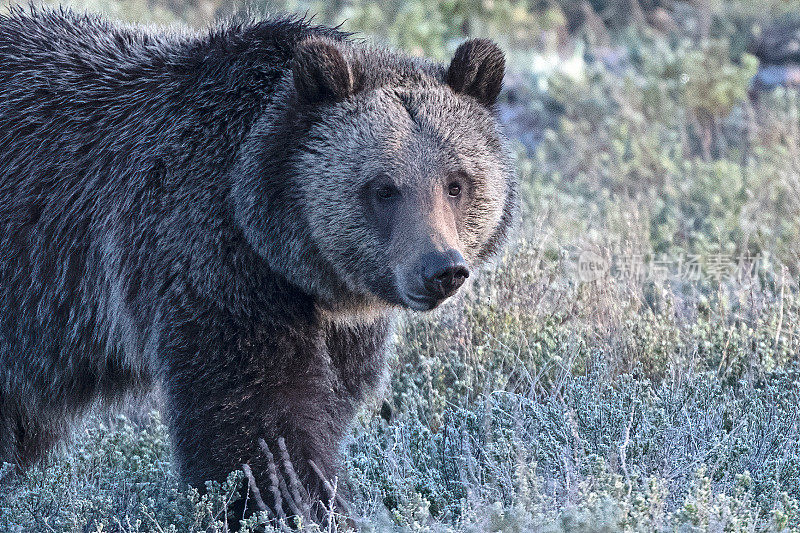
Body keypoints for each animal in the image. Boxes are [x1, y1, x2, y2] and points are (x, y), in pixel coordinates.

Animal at [0, 6, 516, 520]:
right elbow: (260, 411)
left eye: (456, 183)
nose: (442, 269)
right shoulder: (211, 260)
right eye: (384, 189)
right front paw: (295, 502)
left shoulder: (342, 328)